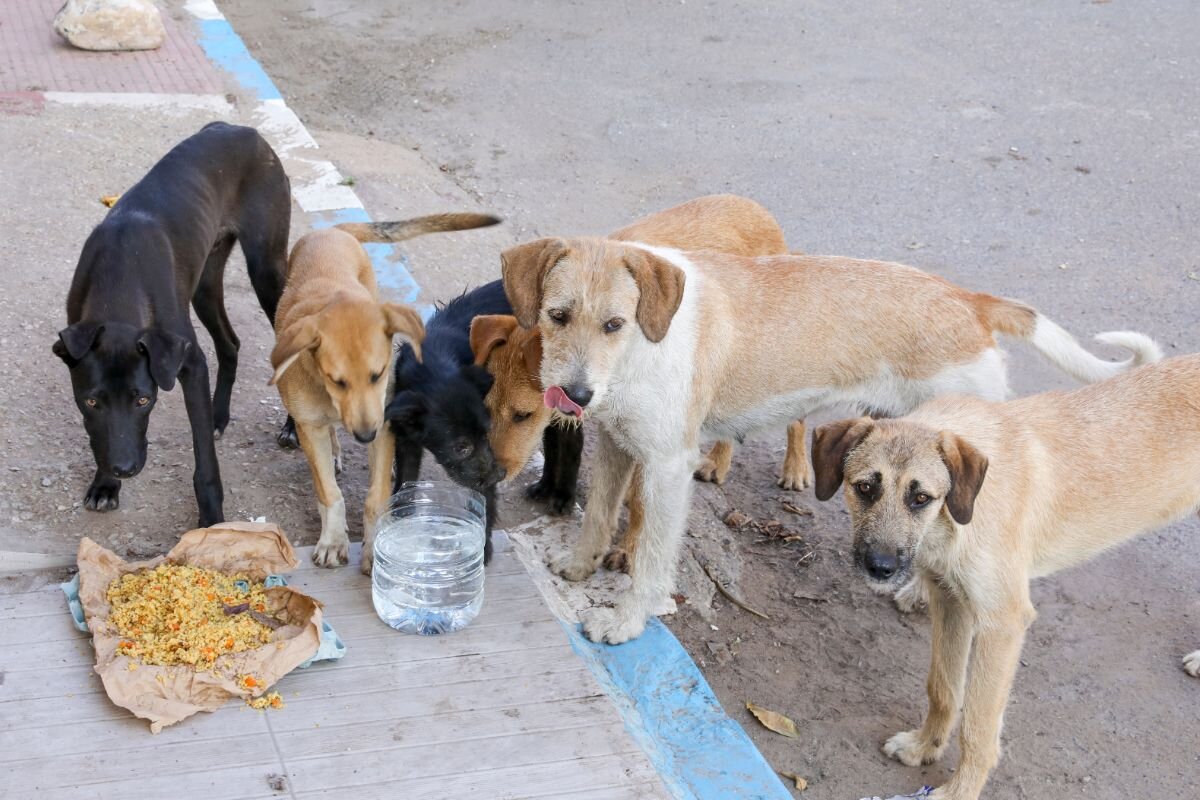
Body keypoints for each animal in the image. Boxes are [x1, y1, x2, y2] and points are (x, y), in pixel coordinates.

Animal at [54, 123, 292, 525]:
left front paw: (212, 518)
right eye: (91, 401)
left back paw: (293, 426)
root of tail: (244, 129)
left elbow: (204, 459)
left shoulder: (190, 363)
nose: (124, 469)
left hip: (267, 273)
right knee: (230, 343)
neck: (120, 274)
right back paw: (218, 414)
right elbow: (100, 436)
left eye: (143, 400)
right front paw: (104, 485)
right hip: (205, 284)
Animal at [272, 215, 496, 573]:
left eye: (378, 374)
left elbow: (377, 497)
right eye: (337, 381)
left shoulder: (386, 422)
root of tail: (334, 231)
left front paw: (374, 548)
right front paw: (333, 540)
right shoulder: (310, 426)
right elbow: (329, 492)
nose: (366, 435)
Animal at [388, 281, 511, 563]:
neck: (435, 362)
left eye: (486, 433)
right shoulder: (406, 437)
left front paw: (483, 545)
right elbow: (406, 477)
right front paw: (400, 517)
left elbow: (484, 502)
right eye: (460, 447)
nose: (499, 475)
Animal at [811, 355, 1200, 800]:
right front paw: (925, 746)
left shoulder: (1003, 624)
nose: (880, 567)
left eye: (920, 498)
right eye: (864, 488)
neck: (959, 512)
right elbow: (943, 688)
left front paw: (960, 791)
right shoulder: (951, 602)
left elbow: (978, 727)